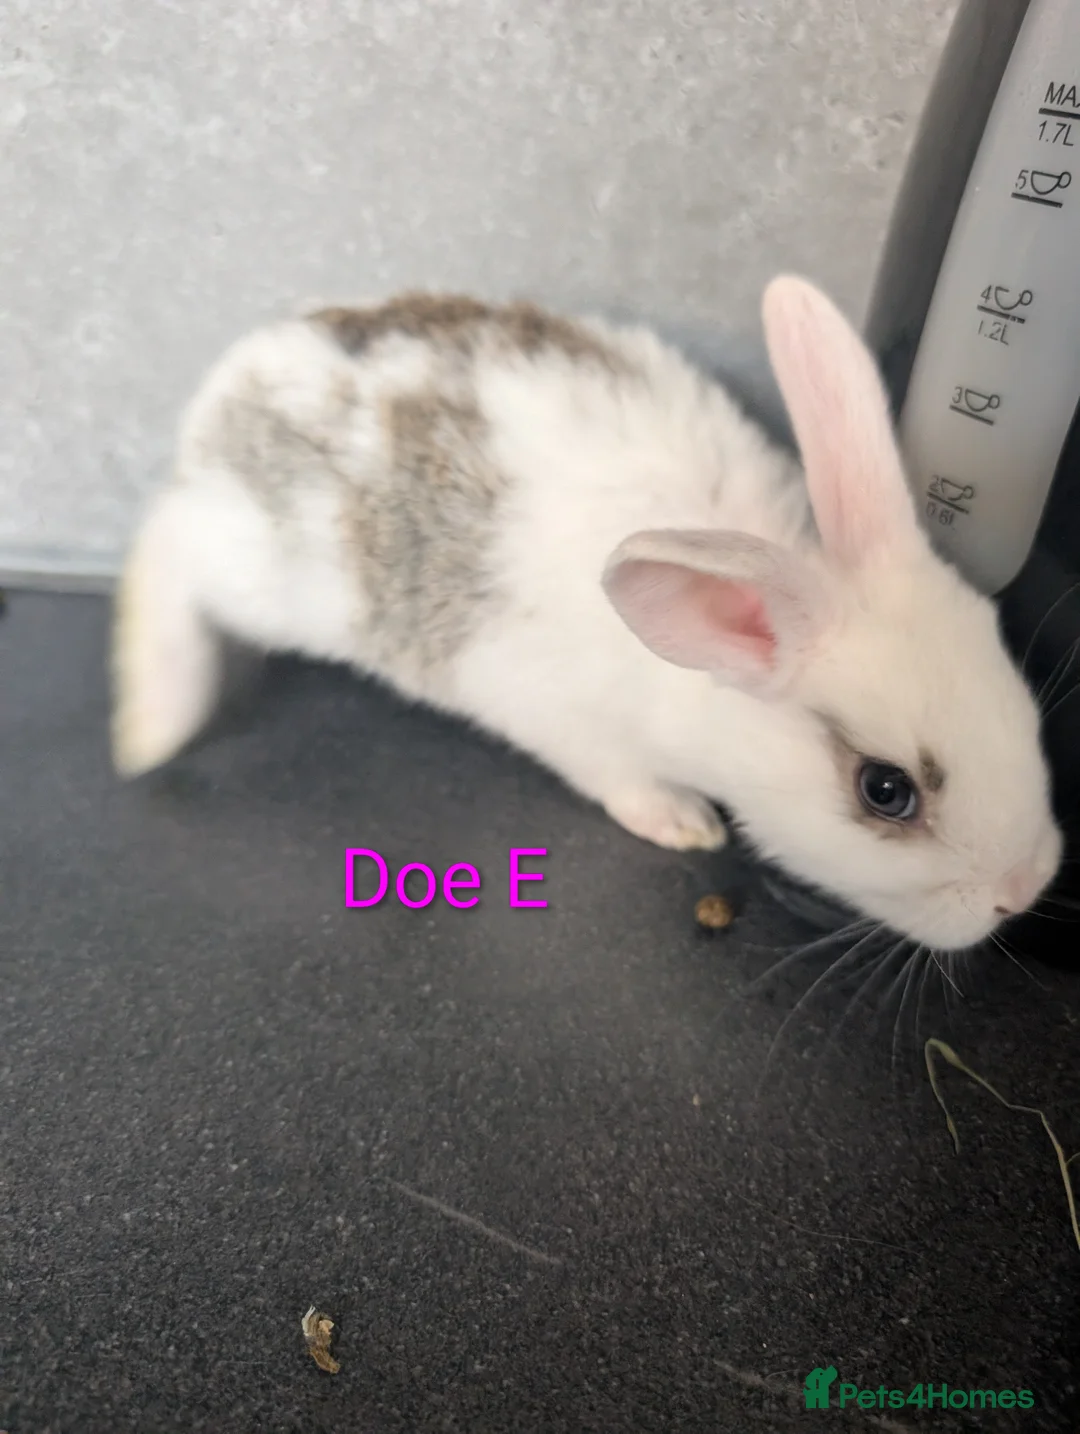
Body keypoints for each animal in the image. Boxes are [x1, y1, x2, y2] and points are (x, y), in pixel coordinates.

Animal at [110, 277, 1062, 951]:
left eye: (1021, 700)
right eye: (886, 791)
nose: (1024, 891)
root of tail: (227, 388)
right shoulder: (577, 728)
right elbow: (623, 781)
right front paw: (684, 823)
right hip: (250, 567)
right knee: (164, 542)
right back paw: (150, 727)